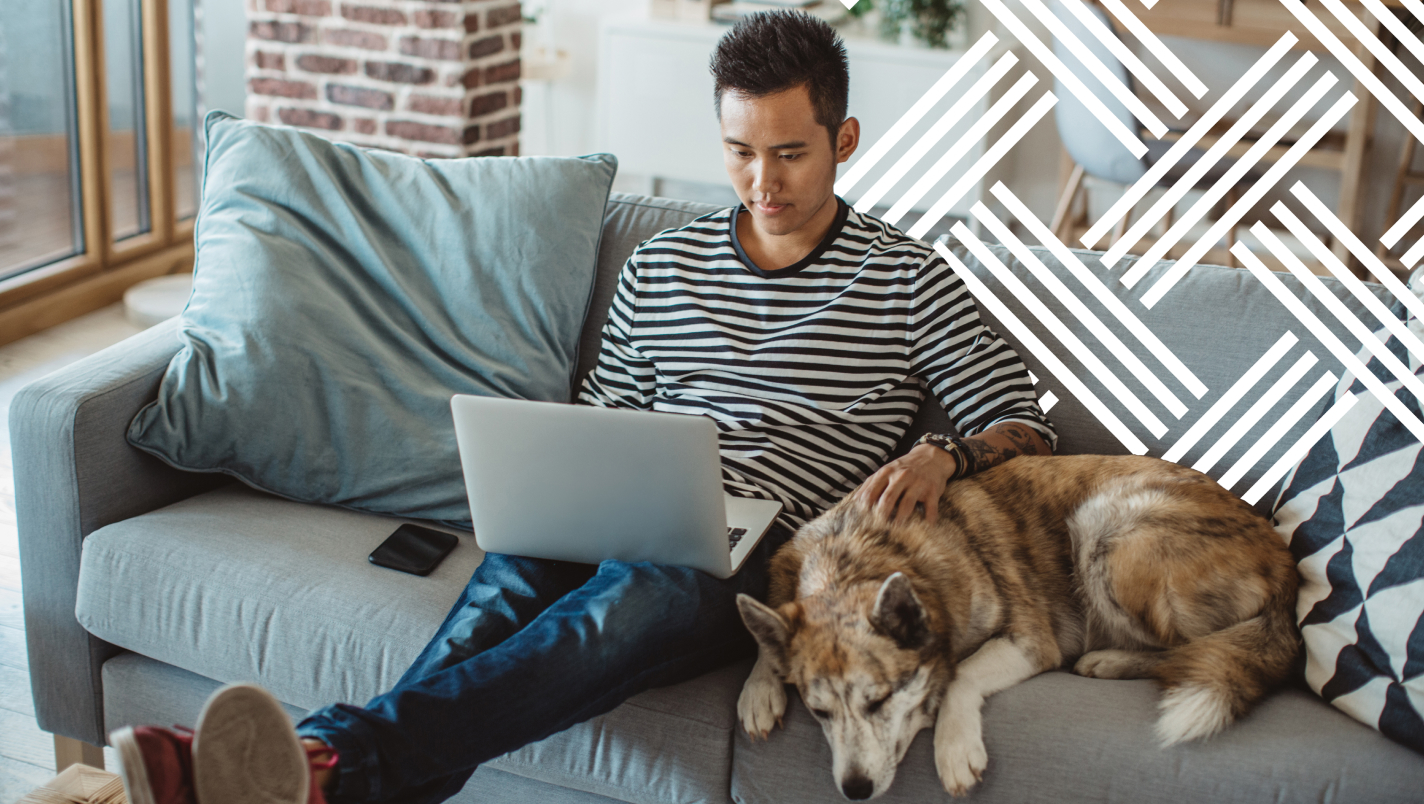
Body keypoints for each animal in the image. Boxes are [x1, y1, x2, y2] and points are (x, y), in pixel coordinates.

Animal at [740, 455, 1304, 796]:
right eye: (817, 712)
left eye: (878, 701)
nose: (854, 790)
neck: (862, 555)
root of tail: (1283, 560)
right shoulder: (787, 566)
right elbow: (767, 631)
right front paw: (760, 688)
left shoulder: (1030, 640)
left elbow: (963, 672)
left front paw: (955, 746)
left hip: (1106, 525)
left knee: (1191, 647)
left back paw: (1108, 659)